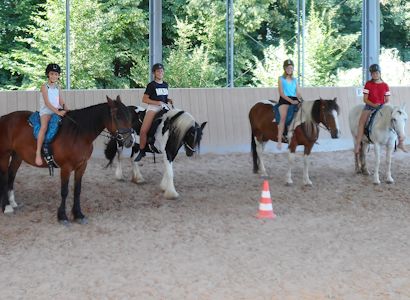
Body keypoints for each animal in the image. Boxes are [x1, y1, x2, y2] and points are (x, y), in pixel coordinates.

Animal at [0, 95, 133, 224]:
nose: (130, 141)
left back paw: (12, 202)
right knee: (5, 177)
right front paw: (62, 216)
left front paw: (78, 214)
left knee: (11, 175)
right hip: (5, 155)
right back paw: (6, 207)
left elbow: (77, 190)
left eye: (128, 116)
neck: (78, 134)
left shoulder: (82, 166)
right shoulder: (66, 167)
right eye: (118, 116)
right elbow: (64, 191)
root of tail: (4, 118)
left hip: (17, 156)